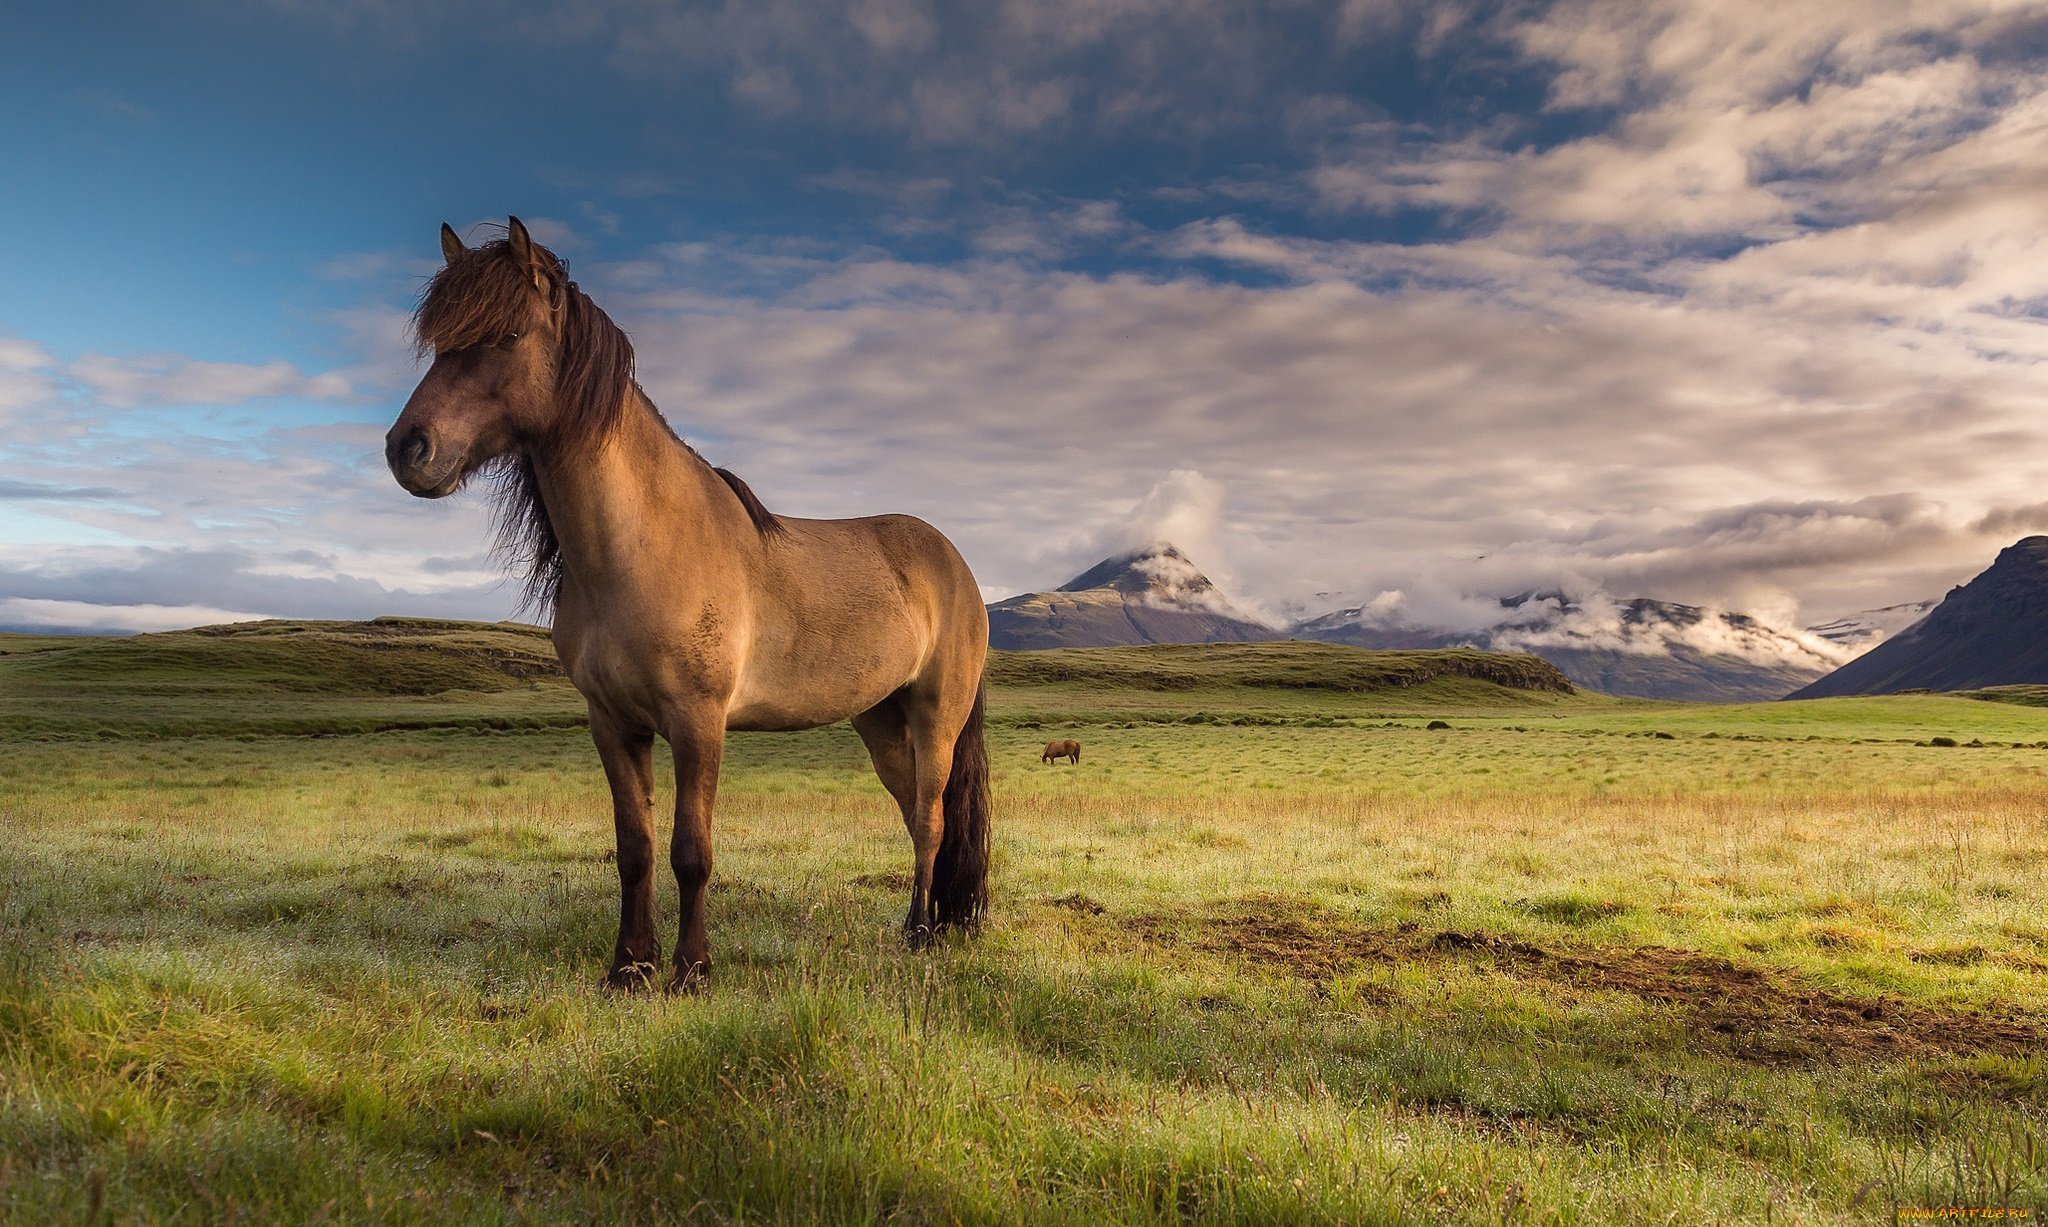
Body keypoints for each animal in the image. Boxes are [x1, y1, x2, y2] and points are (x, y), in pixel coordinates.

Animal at [387, 218, 995, 987]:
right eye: (440, 340)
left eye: (509, 336)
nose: (407, 449)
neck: (645, 546)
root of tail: (956, 565)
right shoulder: (613, 724)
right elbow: (636, 848)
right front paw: (628, 965)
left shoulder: (699, 723)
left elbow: (690, 851)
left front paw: (690, 969)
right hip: (881, 721)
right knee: (916, 814)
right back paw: (932, 922)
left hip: (933, 716)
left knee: (933, 819)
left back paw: (918, 932)